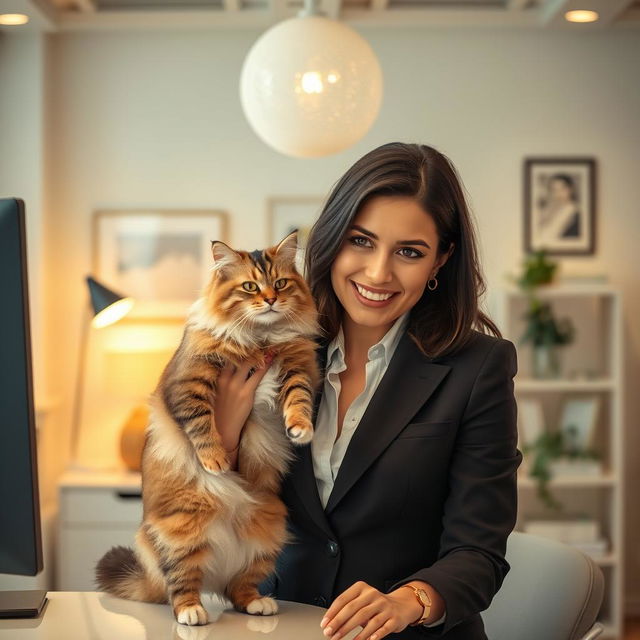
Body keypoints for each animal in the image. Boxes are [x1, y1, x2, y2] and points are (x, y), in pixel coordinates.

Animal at [96, 231, 320, 624]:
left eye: (280, 283)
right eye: (250, 286)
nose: (271, 300)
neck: (260, 338)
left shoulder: (297, 366)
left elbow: (298, 399)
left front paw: (300, 429)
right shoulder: (190, 384)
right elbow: (201, 426)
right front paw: (214, 461)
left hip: (269, 531)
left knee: (238, 589)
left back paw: (258, 604)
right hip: (182, 534)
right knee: (182, 584)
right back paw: (192, 612)